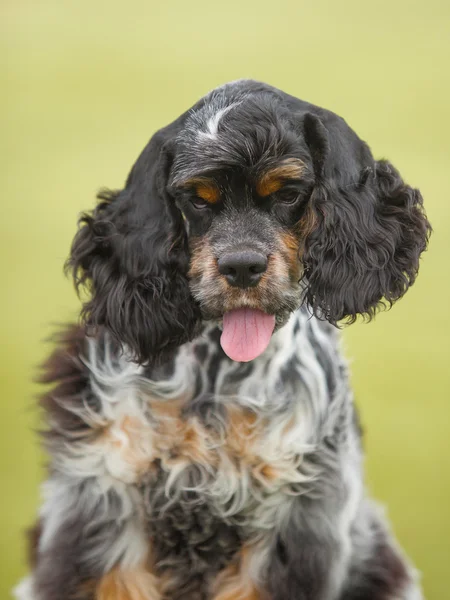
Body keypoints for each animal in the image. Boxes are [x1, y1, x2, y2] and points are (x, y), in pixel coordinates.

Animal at [15, 79, 430, 600]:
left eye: (288, 193)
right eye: (197, 200)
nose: (242, 267)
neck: (216, 377)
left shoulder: (294, 522)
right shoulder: (102, 500)